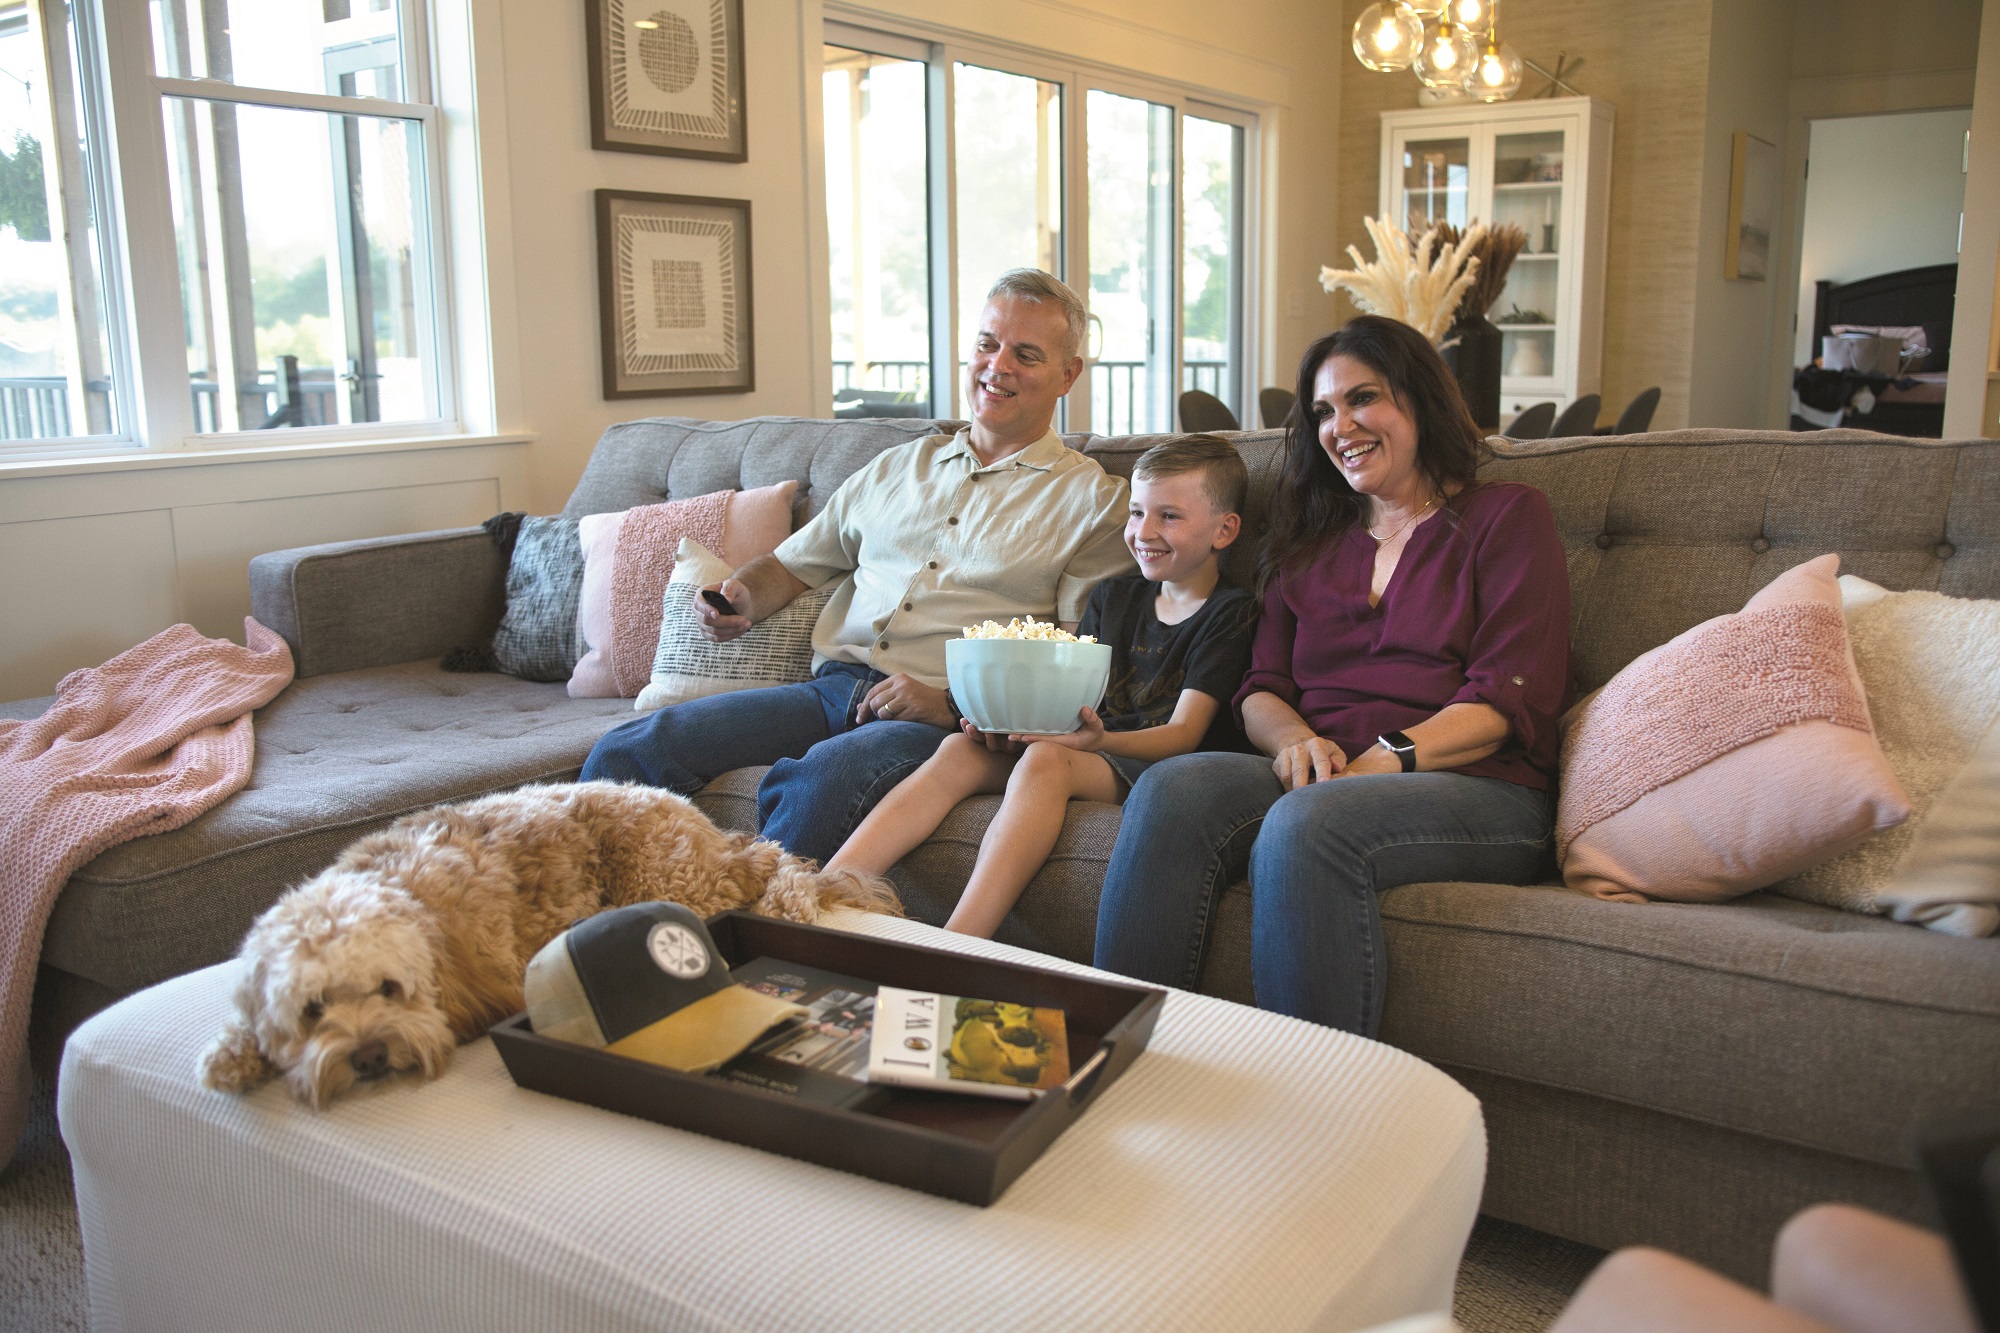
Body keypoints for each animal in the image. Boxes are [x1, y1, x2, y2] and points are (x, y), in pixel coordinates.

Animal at [197, 772, 900, 1104]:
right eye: (312, 1010)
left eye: (391, 989)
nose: (368, 1058)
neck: (404, 893)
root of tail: (687, 810)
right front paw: (231, 1056)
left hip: (668, 875)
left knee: (774, 862)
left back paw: (784, 892)